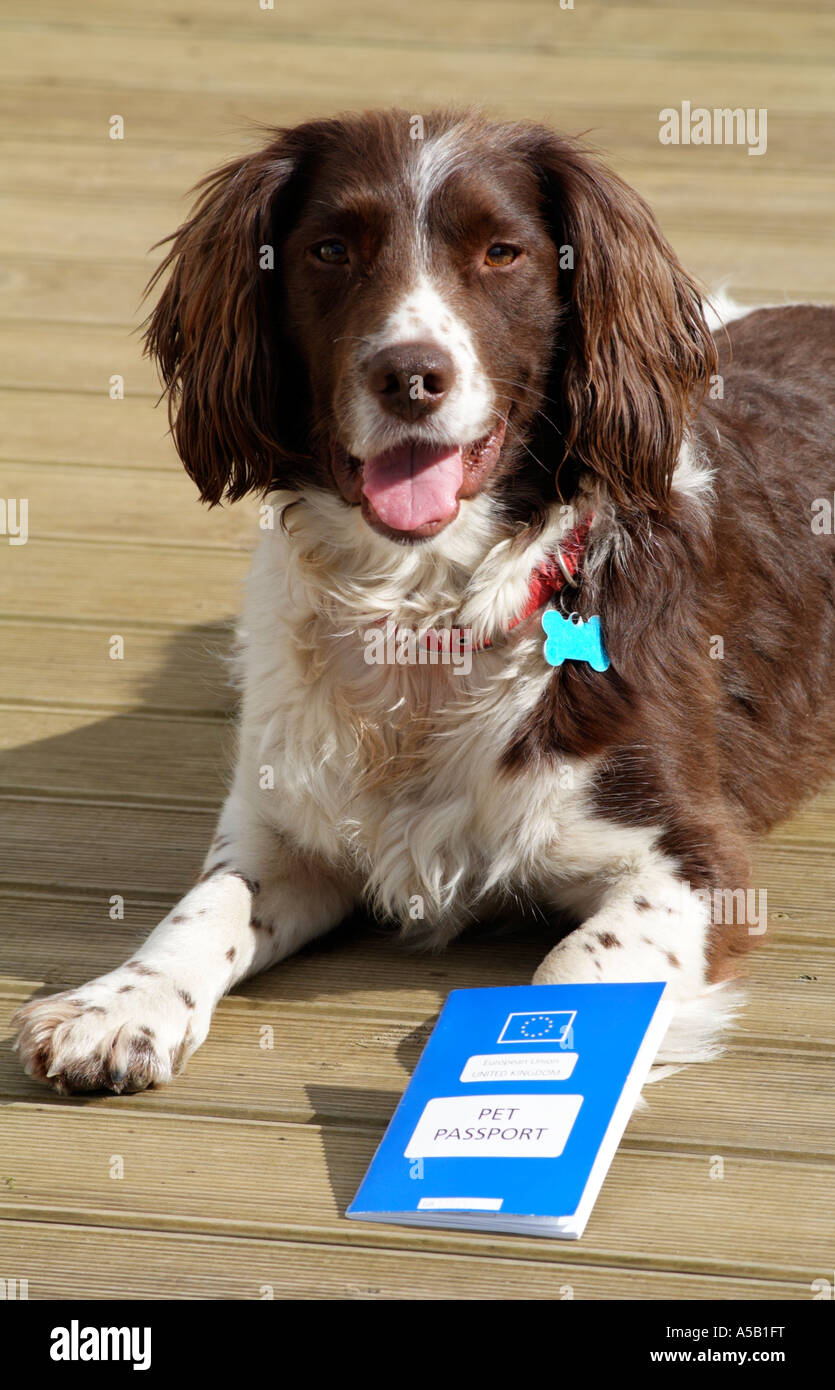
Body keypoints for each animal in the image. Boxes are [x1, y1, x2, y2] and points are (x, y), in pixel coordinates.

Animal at [14, 108, 833, 1089]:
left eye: (502, 253)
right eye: (329, 249)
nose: (409, 376)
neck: (421, 610)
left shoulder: (692, 854)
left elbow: (575, 965)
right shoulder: (285, 819)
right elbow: (205, 907)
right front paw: (117, 1006)